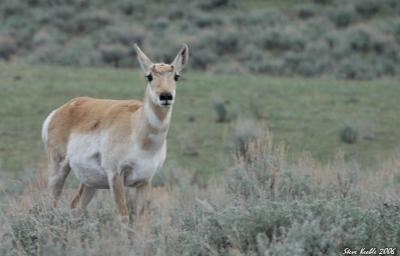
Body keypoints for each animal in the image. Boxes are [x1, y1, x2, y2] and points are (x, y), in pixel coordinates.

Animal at [41, 44, 188, 220]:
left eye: (176, 76)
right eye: (149, 76)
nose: (165, 96)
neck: (137, 130)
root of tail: (63, 109)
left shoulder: (145, 181)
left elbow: (140, 217)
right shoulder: (115, 176)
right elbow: (123, 215)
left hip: (90, 182)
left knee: (76, 206)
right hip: (58, 169)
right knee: (51, 202)